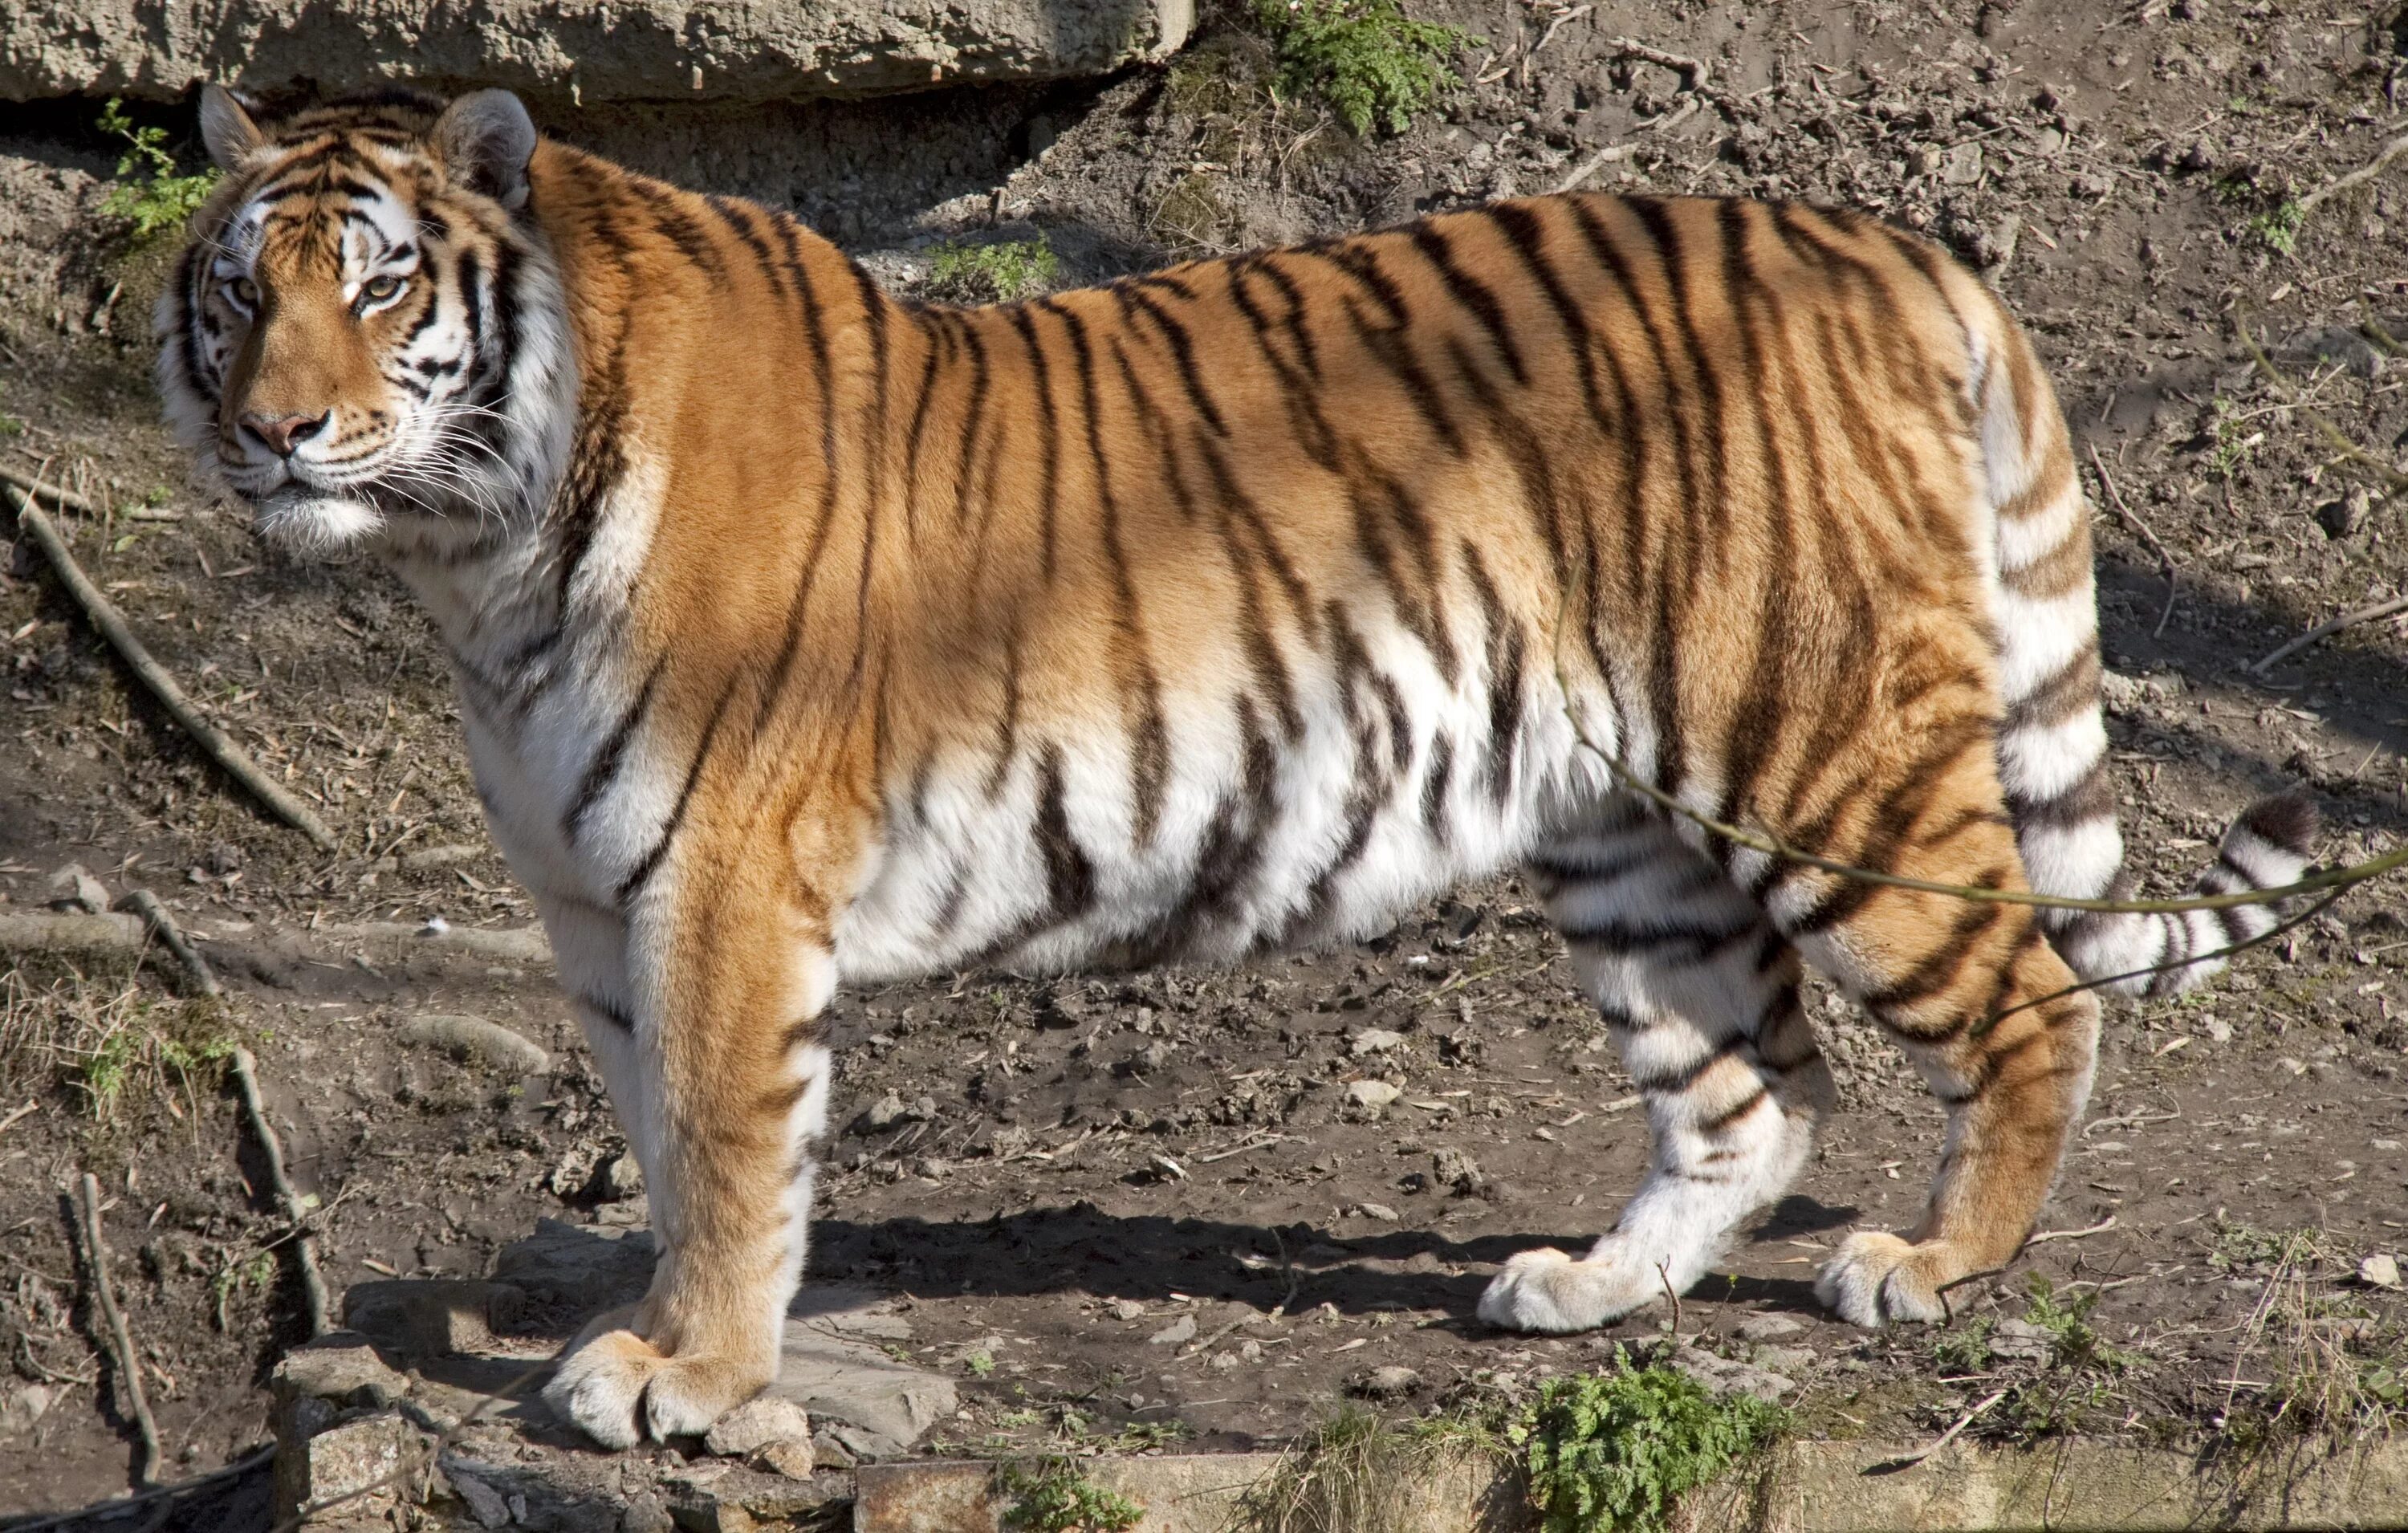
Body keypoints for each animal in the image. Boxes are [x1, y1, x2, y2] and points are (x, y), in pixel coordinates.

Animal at [160, 83, 2321, 1444]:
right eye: (238, 288)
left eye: (376, 282)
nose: (274, 430)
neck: (477, 558)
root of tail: (1882, 245)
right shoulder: (593, 893)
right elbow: (666, 1135)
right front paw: (646, 1332)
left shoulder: (722, 881)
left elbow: (727, 1146)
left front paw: (683, 1374)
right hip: (1627, 829)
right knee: (1752, 1086)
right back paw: (1589, 1282)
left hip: (1816, 739)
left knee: (2030, 996)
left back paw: (1932, 1261)